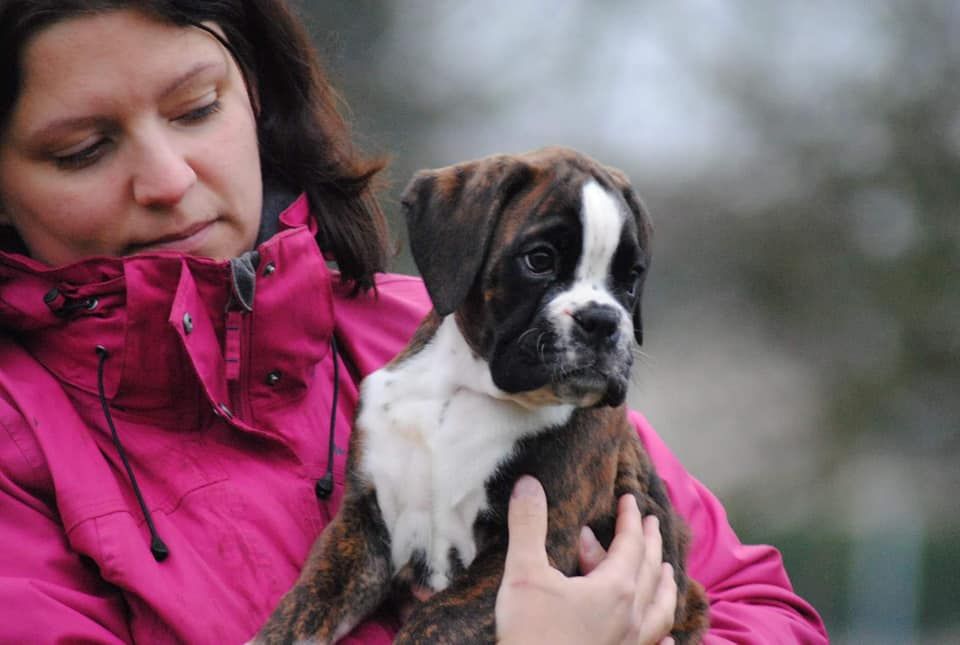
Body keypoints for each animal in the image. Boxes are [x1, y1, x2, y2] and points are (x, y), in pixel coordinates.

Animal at [258, 147, 708, 644]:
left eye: (631, 277)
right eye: (539, 259)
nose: (602, 320)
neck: (465, 390)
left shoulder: (530, 552)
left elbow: (433, 620)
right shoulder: (366, 523)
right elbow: (307, 603)